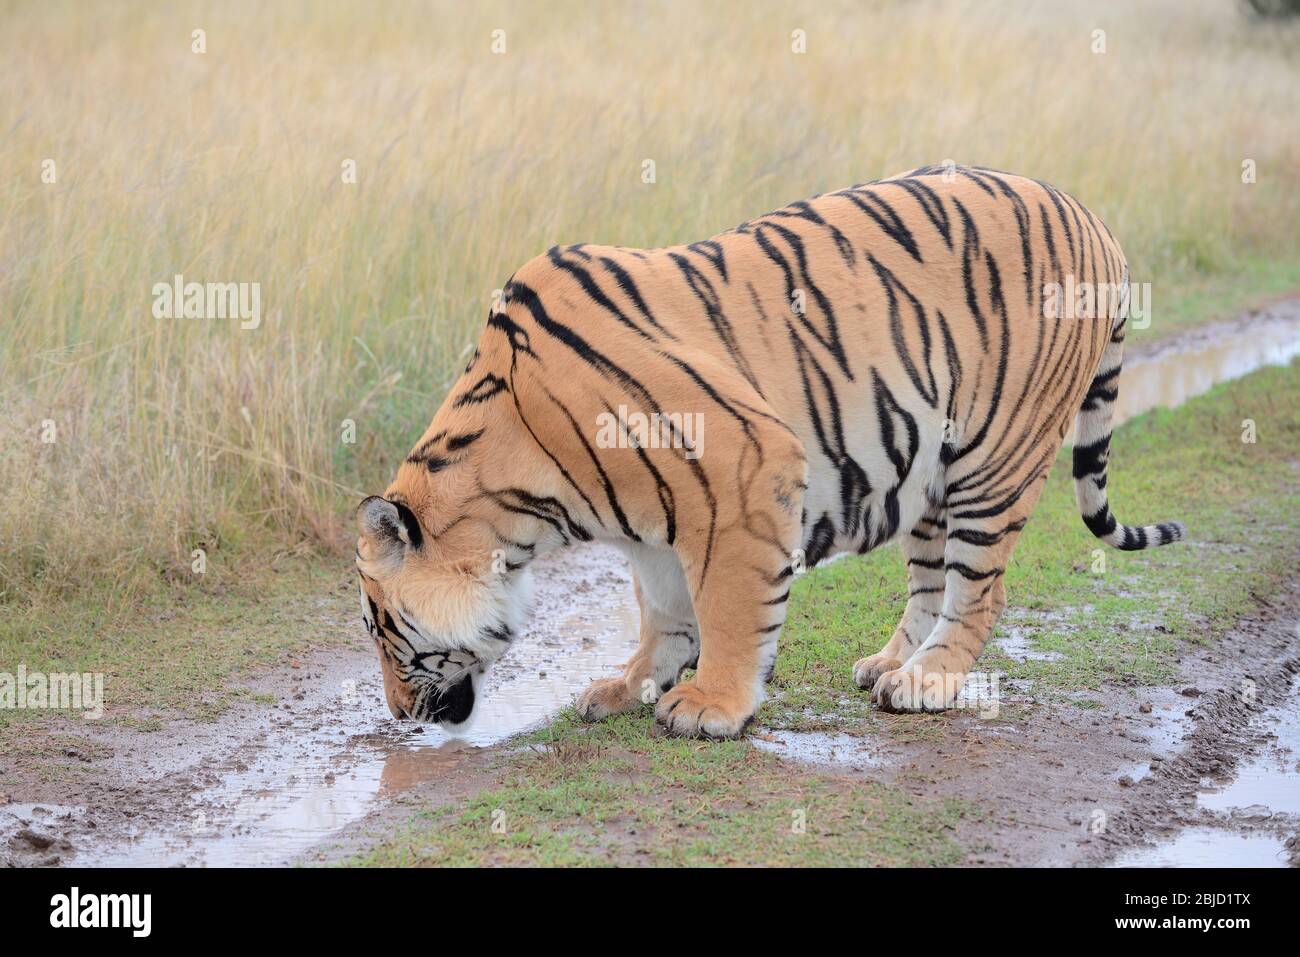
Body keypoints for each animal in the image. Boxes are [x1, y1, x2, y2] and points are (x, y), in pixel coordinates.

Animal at [351, 164, 1185, 738]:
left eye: (382, 630)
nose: (399, 716)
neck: (522, 498)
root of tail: (1094, 218)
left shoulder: (742, 463)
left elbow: (729, 606)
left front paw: (710, 704)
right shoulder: (651, 521)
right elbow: (662, 609)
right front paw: (629, 685)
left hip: (998, 452)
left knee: (980, 588)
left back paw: (927, 682)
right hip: (928, 463)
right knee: (928, 578)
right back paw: (890, 663)